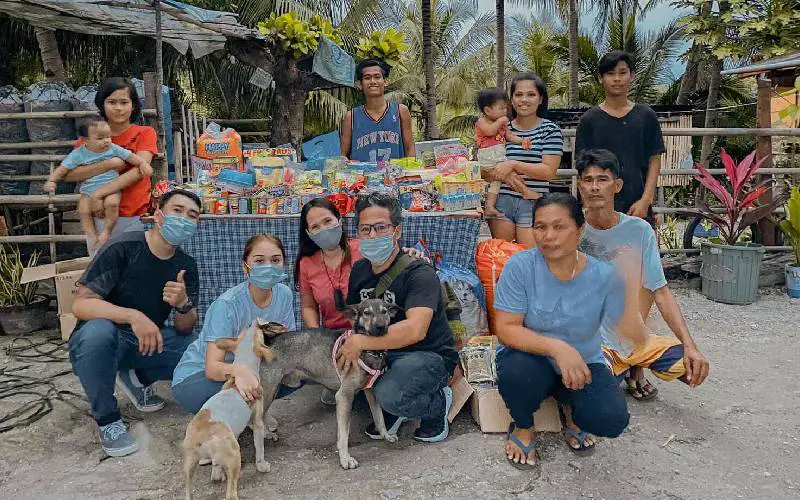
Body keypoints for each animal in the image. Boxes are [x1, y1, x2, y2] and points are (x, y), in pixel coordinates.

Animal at [181, 318, 282, 500]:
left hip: (189, 465)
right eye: (259, 334)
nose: (255, 322)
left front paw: (217, 473)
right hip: (235, 457)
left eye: (244, 329)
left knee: (190, 489)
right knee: (230, 494)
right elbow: (260, 446)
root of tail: (203, 436)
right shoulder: (257, 422)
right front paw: (262, 464)